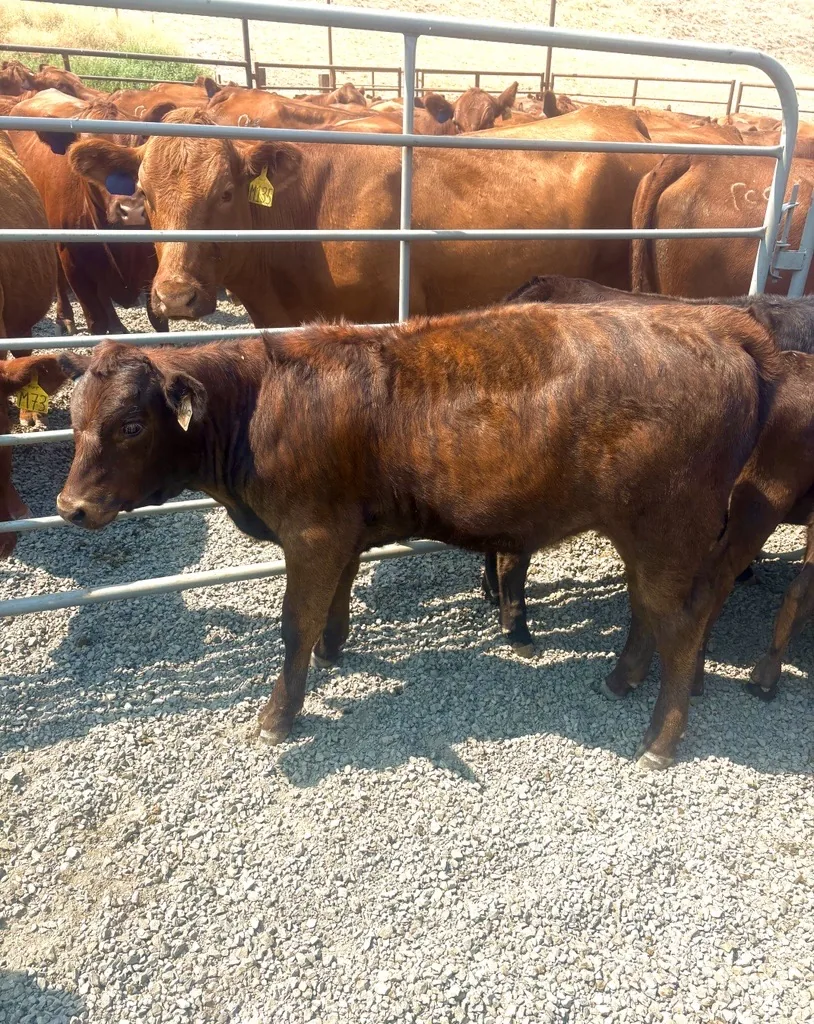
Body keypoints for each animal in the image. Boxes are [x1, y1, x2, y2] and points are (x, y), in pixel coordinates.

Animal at [9, 97, 168, 337]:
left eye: (139, 145)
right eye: (85, 160)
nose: (132, 211)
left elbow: (159, 320)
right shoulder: (75, 266)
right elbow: (96, 323)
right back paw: (65, 318)